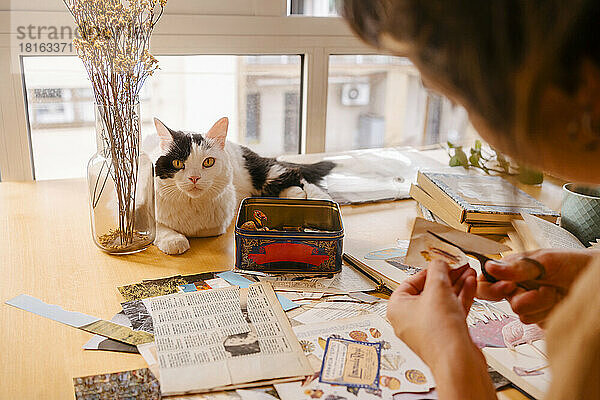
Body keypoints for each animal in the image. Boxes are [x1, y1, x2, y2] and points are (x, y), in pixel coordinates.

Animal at [152, 115, 336, 255]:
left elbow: (203, 229)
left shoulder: (220, 221)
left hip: (262, 172)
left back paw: (312, 199)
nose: (194, 178)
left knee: (296, 175)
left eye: (208, 162)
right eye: (177, 163)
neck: (192, 203)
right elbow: (158, 227)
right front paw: (174, 239)